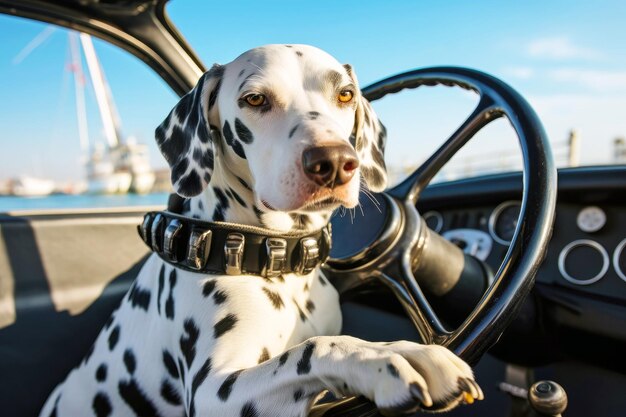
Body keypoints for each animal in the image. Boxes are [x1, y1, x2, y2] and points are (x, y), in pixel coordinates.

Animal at [40, 44, 482, 414]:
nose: (334, 162)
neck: (279, 255)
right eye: (255, 99)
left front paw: (402, 347)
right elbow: (311, 350)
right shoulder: (215, 391)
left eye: (345, 94)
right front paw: (390, 356)